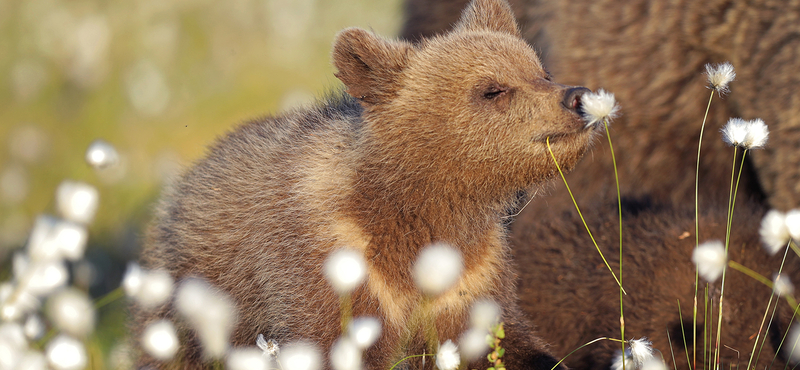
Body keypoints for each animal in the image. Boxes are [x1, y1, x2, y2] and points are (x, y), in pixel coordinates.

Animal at [133, 0, 608, 368]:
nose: (576, 97)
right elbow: (329, 341)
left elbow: (506, 342)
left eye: (540, 70)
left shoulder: (471, 275)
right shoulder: (327, 266)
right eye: (492, 89)